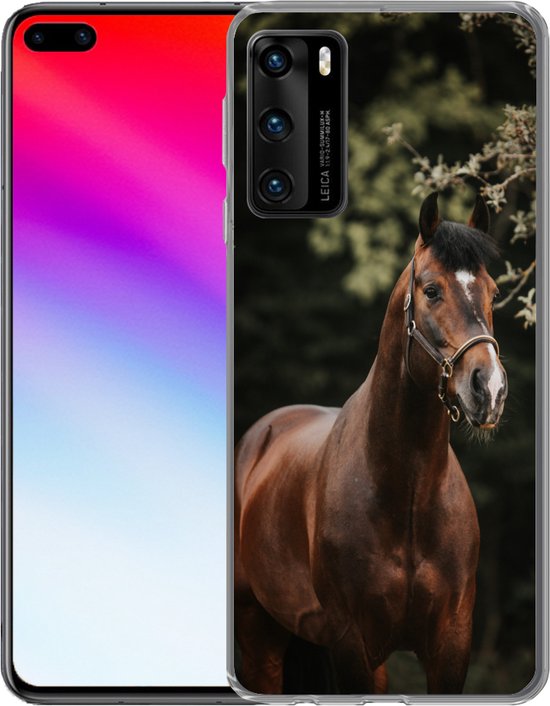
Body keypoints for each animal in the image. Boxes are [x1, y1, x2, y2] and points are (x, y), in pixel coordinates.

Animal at [234, 192, 508, 695]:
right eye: (431, 290)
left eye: (493, 292)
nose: (490, 388)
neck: (408, 495)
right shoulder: (351, 641)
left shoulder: (452, 645)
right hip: (259, 636)